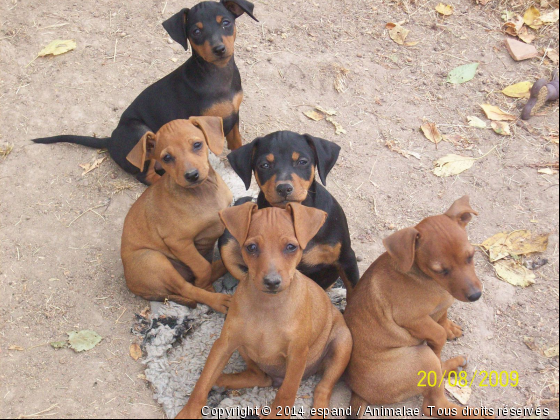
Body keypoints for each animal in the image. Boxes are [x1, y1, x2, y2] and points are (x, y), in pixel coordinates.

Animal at [36, 0, 260, 185]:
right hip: (141, 133)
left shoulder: (233, 114)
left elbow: (236, 141)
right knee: (146, 176)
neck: (218, 75)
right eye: (196, 31)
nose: (219, 49)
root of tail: (110, 140)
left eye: (226, 23)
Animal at [122, 116, 234, 314]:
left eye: (197, 144)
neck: (203, 193)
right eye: (166, 157)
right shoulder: (179, 242)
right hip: (154, 260)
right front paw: (208, 287)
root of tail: (131, 283)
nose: (192, 175)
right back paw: (217, 300)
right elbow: (202, 267)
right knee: (188, 288)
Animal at [175, 203, 352, 416]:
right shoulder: (224, 344)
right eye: (251, 247)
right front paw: (188, 413)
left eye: (291, 247)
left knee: (322, 389)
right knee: (258, 376)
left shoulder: (297, 355)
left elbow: (286, 394)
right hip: (245, 348)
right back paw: (222, 380)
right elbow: (202, 384)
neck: (268, 305)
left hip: (342, 345)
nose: (272, 282)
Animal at [344, 198, 492, 420]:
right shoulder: (413, 320)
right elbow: (438, 333)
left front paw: (450, 328)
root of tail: (358, 393)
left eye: (470, 256)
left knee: (437, 374)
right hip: (423, 358)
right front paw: (441, 339)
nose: (475, 296)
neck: (430, 281)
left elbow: (443, 316)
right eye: (440, 270)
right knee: (434, 403)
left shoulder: (442, 305)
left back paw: (455, 363)